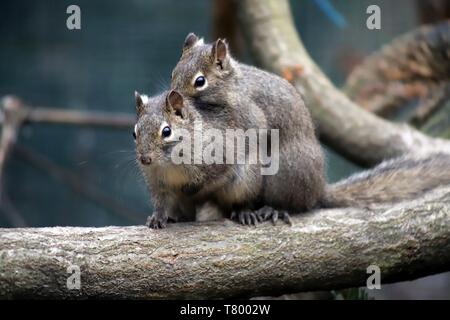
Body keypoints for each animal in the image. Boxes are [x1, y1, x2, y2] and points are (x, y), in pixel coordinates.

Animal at [134, 33, 450, 228]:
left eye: (200, 81)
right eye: (173, 72)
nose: (145, 159)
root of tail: (318, 188)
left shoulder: (245, 115)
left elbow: (246, 137)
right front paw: (160, 217)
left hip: (282, 173)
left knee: (292, 204)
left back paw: (266, 210)